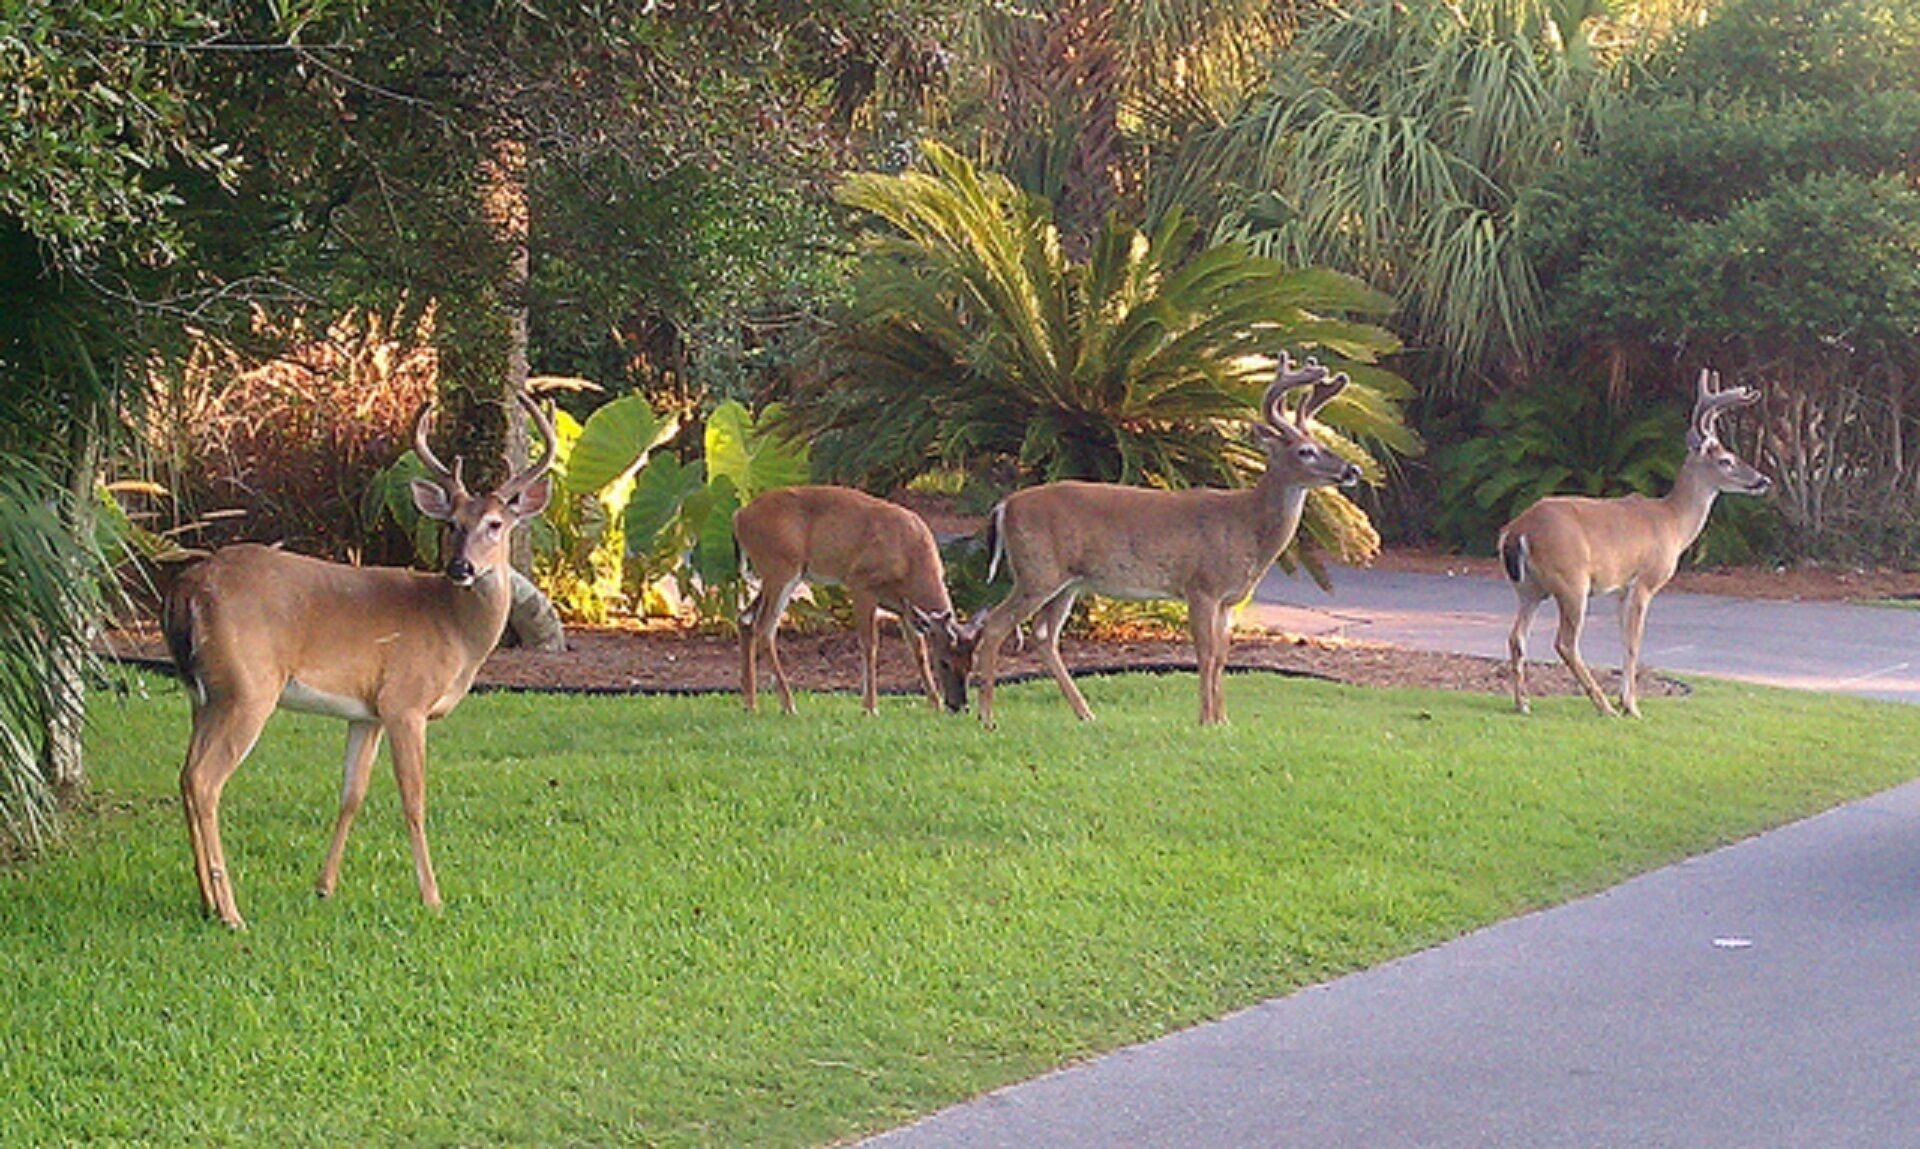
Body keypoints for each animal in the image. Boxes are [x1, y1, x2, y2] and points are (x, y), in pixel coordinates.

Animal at [161, 392, 556, 928]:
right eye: (451, 525)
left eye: (496, 524)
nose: (461, 567)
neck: (454, 629)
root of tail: (187, 589)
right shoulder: (405, 701)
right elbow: (414, 798)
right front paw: (432, 897)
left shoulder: (366, 713)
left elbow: (352, 794)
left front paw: (324, 886)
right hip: (246, 688)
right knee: (205, 781)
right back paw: (230, 912)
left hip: (201, 695)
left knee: (184, 775)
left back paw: (205, 900)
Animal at [733, 485, 980, 716]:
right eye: (944, 662)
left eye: (970, 664)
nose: (960, 706)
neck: (909, 558)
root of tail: (738, 517)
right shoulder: (861, 583)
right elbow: (870, 644)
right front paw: (870, 708)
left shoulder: (904, 608)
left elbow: (917, 651)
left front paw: (934, 705)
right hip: (781, 568)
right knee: (764, 628)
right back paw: (788, 706)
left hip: (772, 575)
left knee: (745, 619)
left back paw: (750, 704)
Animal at [971, 353, 1362, 729]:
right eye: (1305, 451)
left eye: (1323, 443)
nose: (1352, 470)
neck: (1247, 526)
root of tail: (1005, 506)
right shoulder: (1201, 585)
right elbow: (1205, 654)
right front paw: (1206, 720)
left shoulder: (1227, 600)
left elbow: (1223, 656)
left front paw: (1224, 720)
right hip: (1036, 571)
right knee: (996, 625)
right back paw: (987, 716)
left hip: (1067, 582)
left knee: (1043, 635)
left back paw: (1085, 714)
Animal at [1498, 368, 1771, 718]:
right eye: (1725, 460)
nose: (1763, 480)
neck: (1673, 523)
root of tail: (1516, 530)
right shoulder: (1646, 579)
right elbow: (1634, 643)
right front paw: (1630, 706)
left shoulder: (1621, 587)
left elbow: (1622, 639)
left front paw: (1624, 698)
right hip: (1571, 580)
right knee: (1565, 642)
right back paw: (1603, 706)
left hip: (1529, 588)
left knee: (1517, 637)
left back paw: (1523, 703)